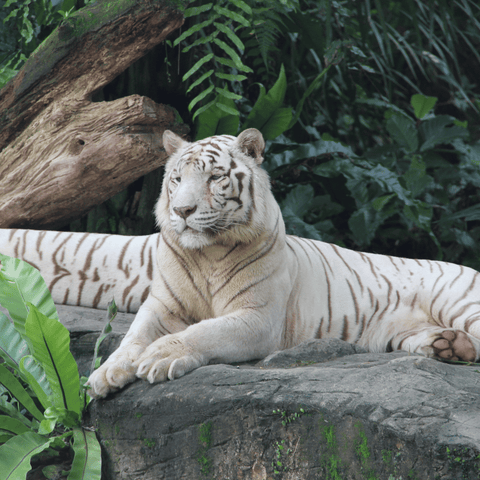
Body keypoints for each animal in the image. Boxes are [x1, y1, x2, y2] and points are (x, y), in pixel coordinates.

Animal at [0, 127, 480, 398]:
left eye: (215, 177)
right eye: (177, 178)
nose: (183, 211)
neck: (206, 253)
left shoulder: (257, 317)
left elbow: (204, 332)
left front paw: (159, 357)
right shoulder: (162, 304)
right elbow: (131, 337)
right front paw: (107, 373)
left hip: (461, 300)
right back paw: (447, 346)